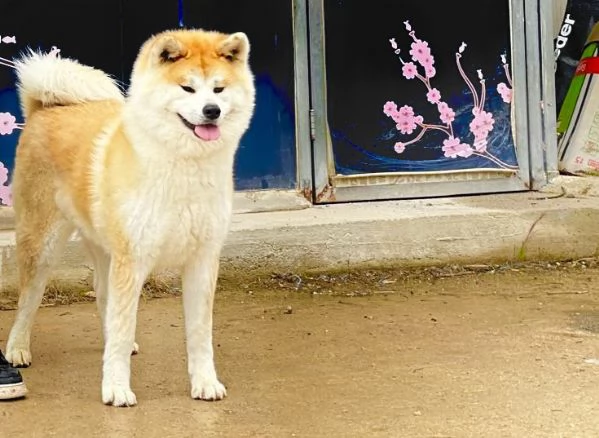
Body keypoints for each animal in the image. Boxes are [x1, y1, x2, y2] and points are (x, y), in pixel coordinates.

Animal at [5, 28, 258, 408]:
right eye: (187, 88)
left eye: (219, 89)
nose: (211, 111)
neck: (183, 165)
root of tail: (45, 107)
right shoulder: (133, 259)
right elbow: (123, 329)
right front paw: (116, 388)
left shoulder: (202, 260)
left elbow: (200, 333)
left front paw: (204, 382)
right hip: (43, 244)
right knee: (27, 301)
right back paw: (17, 348)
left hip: (104, 247)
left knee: (101, 293)